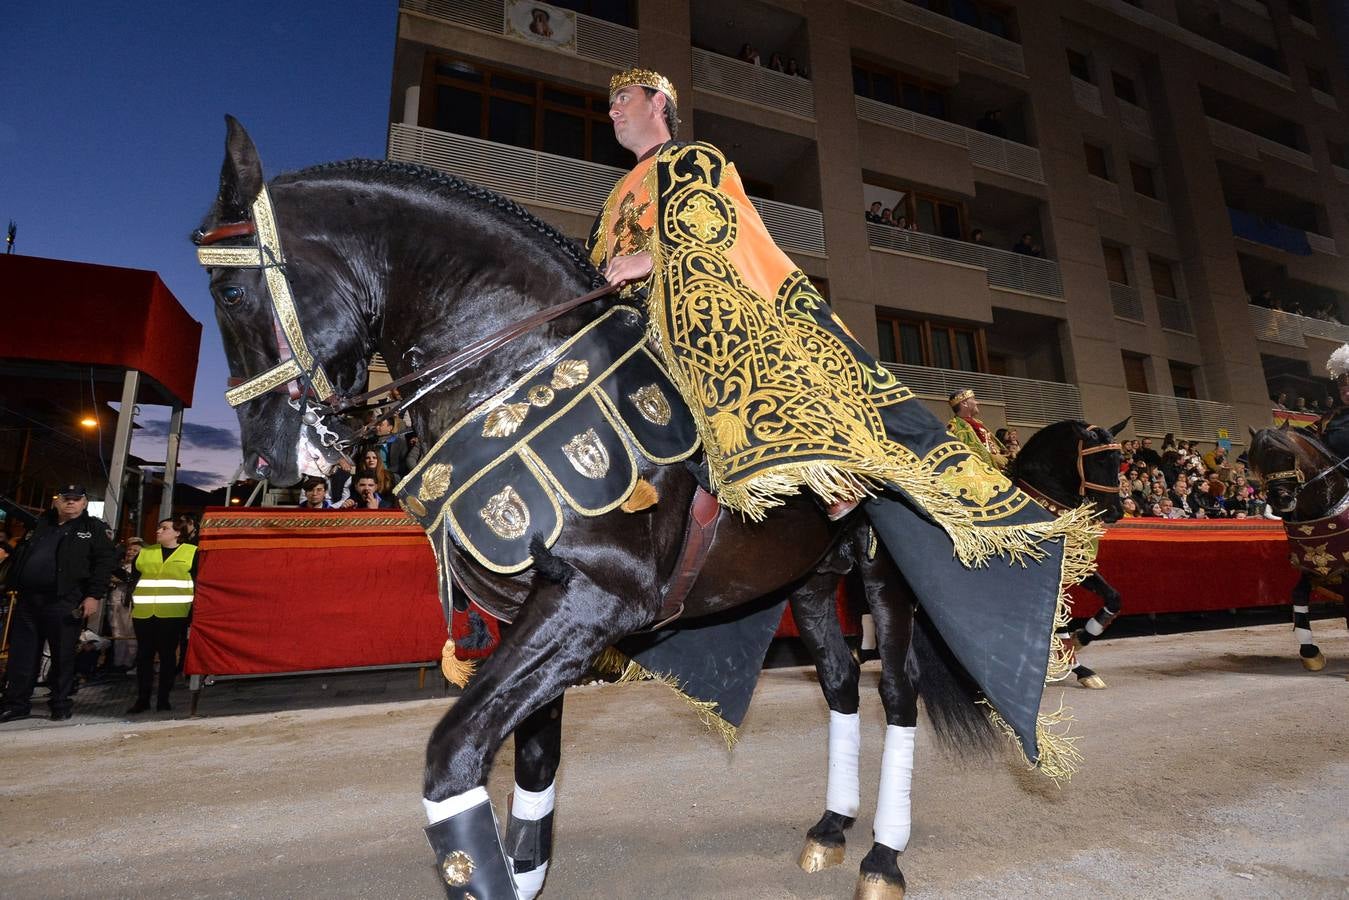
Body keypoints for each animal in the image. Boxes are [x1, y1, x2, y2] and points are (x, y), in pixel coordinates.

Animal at [195, 121, 1111, 900]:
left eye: (232, 297)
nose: (269, 462)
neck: (513, 366)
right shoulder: (536, 612)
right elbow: (533, 763)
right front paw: (524, 868)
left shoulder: (595, 599)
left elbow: (453, 757)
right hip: (814, 582)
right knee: (838, 683)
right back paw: (830, 827)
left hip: (886, 579)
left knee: (897, 692)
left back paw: (882, 856)